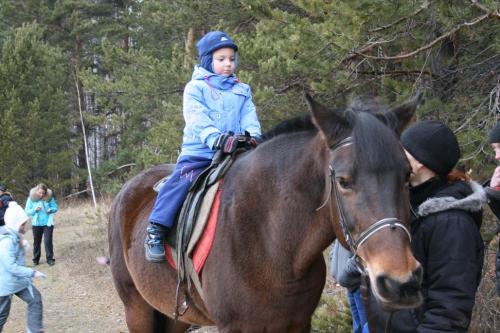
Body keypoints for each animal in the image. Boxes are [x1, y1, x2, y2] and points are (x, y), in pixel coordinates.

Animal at [108, 94, 422, 332]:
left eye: (407, 176)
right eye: (344, 181)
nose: (400, 282)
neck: (271, 242)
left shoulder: (297, 324)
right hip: (138, 311)